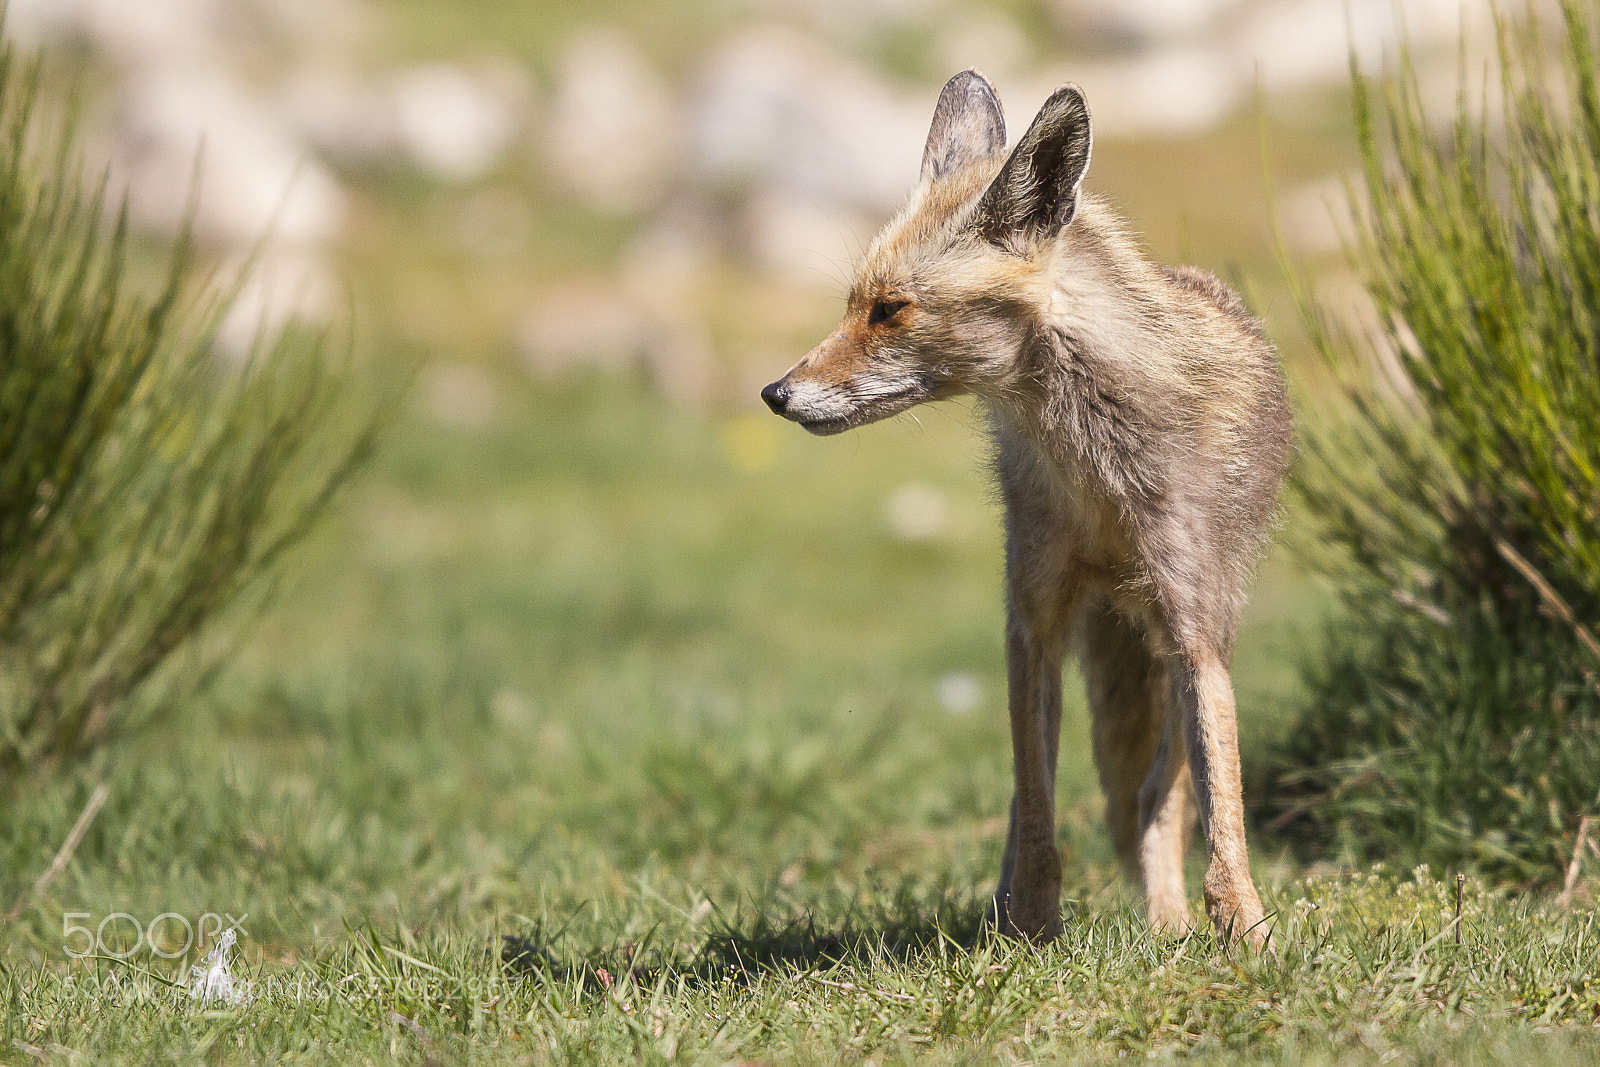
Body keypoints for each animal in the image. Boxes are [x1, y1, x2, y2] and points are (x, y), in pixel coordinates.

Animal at [760, 71, 1290, 950]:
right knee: (1034, 794)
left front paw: (1245, 932)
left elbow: (1221, 809)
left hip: (1196, 634)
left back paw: (1169, 921)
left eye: (889, 310)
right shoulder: (1031, 620)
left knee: (1157, 797)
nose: (774, 392)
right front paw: (1030, 928)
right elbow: (1038, 809)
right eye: (851, 305)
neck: (1097, 480)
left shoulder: (1194, 630)